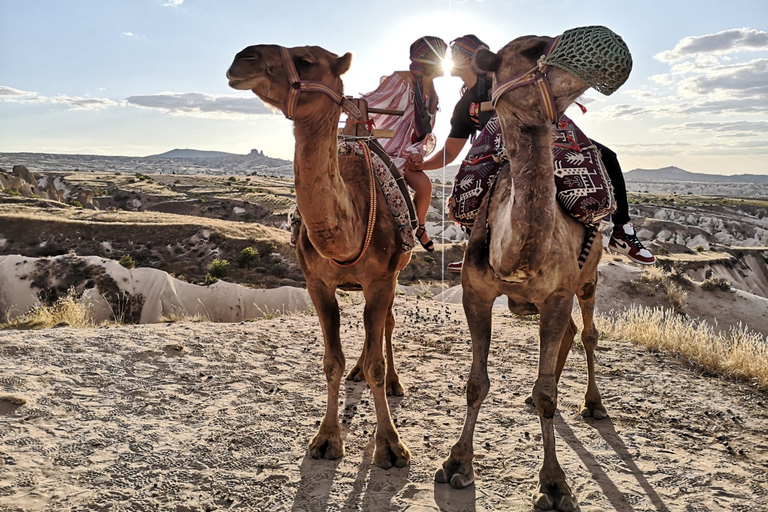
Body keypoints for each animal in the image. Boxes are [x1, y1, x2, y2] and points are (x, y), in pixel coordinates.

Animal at [227, 45, 412, 469]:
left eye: (306, 60)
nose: (241, 58)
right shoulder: (317, 284)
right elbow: (331, 362)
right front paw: (326, 439)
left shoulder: (382, 279)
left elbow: (377, 360)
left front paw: (391, 446)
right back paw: (358, 371)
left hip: (395, 274)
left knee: (387, 326)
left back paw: (395, 382)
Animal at [434, 28, 631, 510]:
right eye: (531, 49)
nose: (609, 45)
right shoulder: (476, 293)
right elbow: (477, 382)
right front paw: (457, 464)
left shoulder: (558, 294)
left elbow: (547, 395)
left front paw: (555, 484)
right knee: (571, 337)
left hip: (588, 278)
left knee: (589, 333)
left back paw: (594, 403)